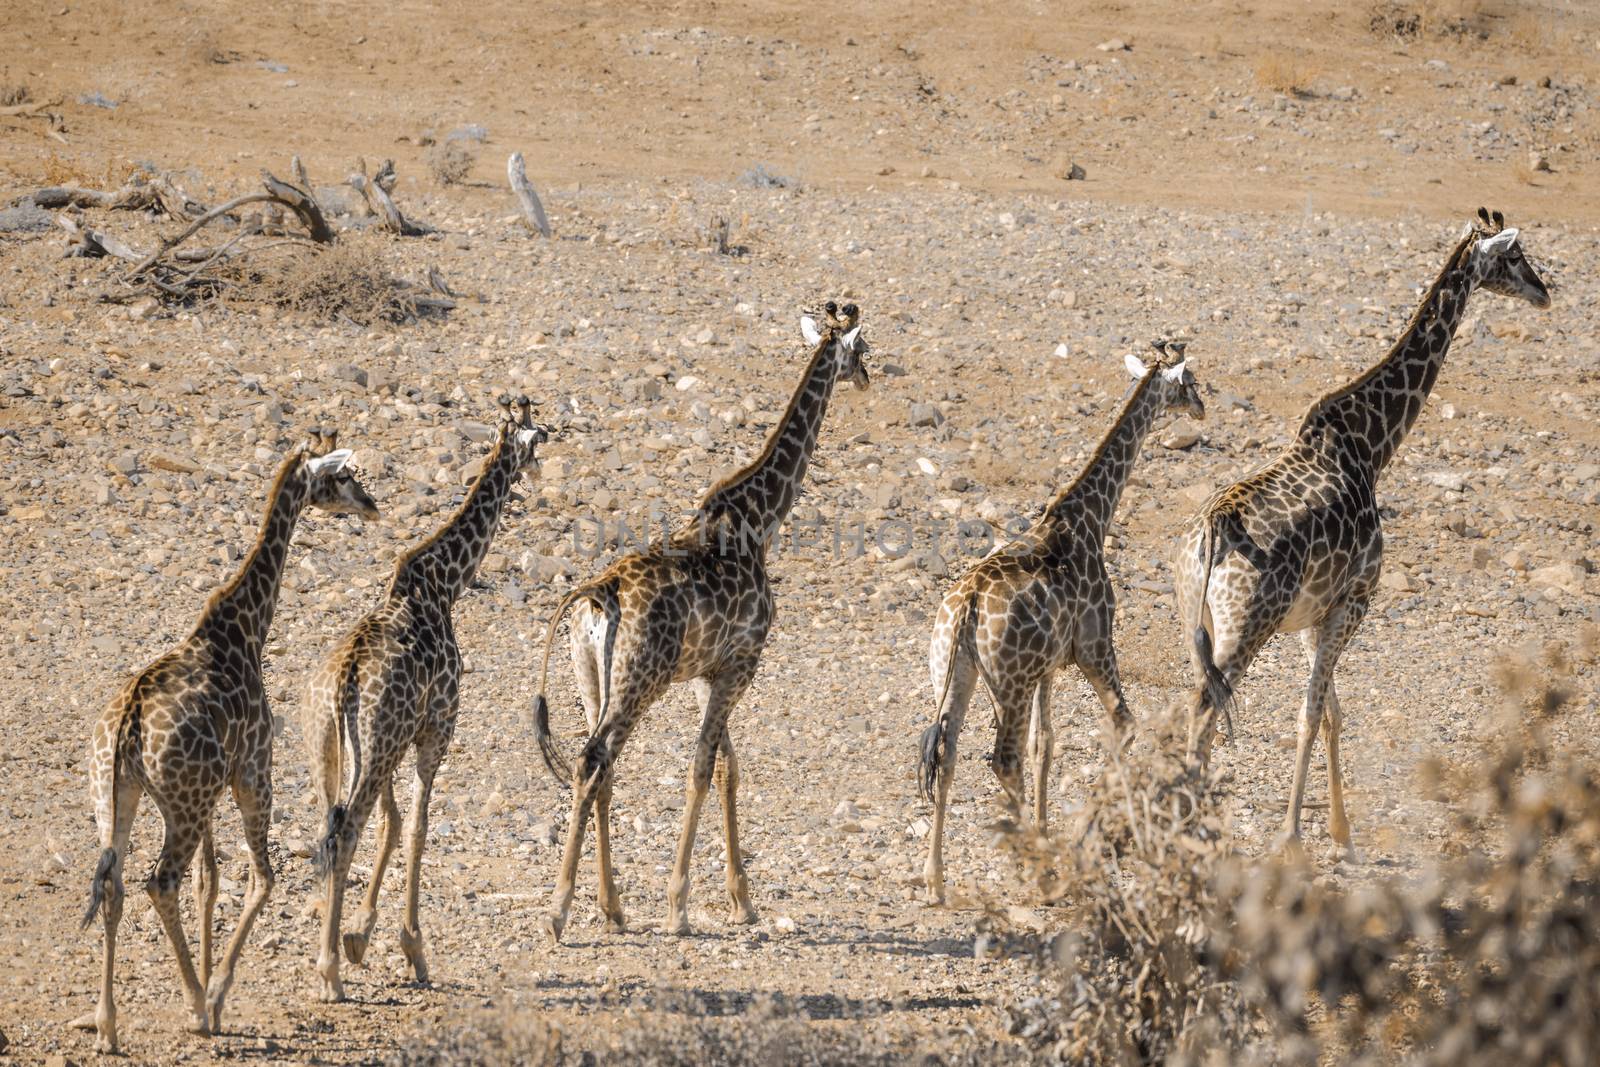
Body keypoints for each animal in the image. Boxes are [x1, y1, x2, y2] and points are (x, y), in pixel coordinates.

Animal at [72, 431, 380, 1049]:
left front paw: (212, 990)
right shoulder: (252, 772)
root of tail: (127, 727)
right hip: (186, 803)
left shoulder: (211, 795)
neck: (246, 627)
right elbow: (260, 878)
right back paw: (194, 1002)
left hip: (118, 798)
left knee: (115, 886)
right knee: (159, 883)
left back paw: (108, 1026)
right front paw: (214, 997)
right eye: (342, 476)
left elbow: (209, 884)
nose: (370, 504)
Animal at [302, 391, 547, 1004]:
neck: (444, 583)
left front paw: (360, 935)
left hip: (331, 754)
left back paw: (330, 955)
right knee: (343, 836)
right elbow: (417, 826)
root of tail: (339, 687)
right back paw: (329, 974)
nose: (537, 471)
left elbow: (392, 823)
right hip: (379, 747)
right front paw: (411, 948)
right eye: (541, 436)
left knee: (327, 834)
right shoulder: (437, 728)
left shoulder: (395, 741)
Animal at [921, 342, 1203, 902]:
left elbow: (1045, 745)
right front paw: (1081, 837)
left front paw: (1049, 829)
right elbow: (1123, 723)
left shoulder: (1048, 669)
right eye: (1190, 382)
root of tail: (965, 609)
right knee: (1001, 759)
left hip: (958, 672)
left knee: (951, 752)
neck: (1091, 517)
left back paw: (936, 880)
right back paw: (1032, 871)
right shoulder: (1096, 647)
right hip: (1008, 682)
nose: (1202, 408)